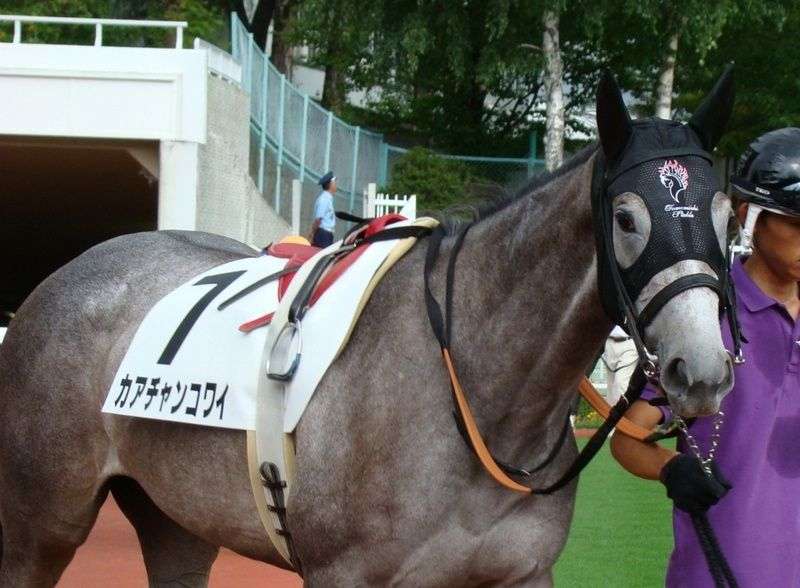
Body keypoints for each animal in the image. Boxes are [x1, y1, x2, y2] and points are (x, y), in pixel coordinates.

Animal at [0, 71, 735, 586]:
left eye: (726, 215)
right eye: (628, 217)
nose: (700, 369)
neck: (472, 394)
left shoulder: (520, 574)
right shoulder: (346, 575)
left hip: (175, 517)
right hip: (40, 522)